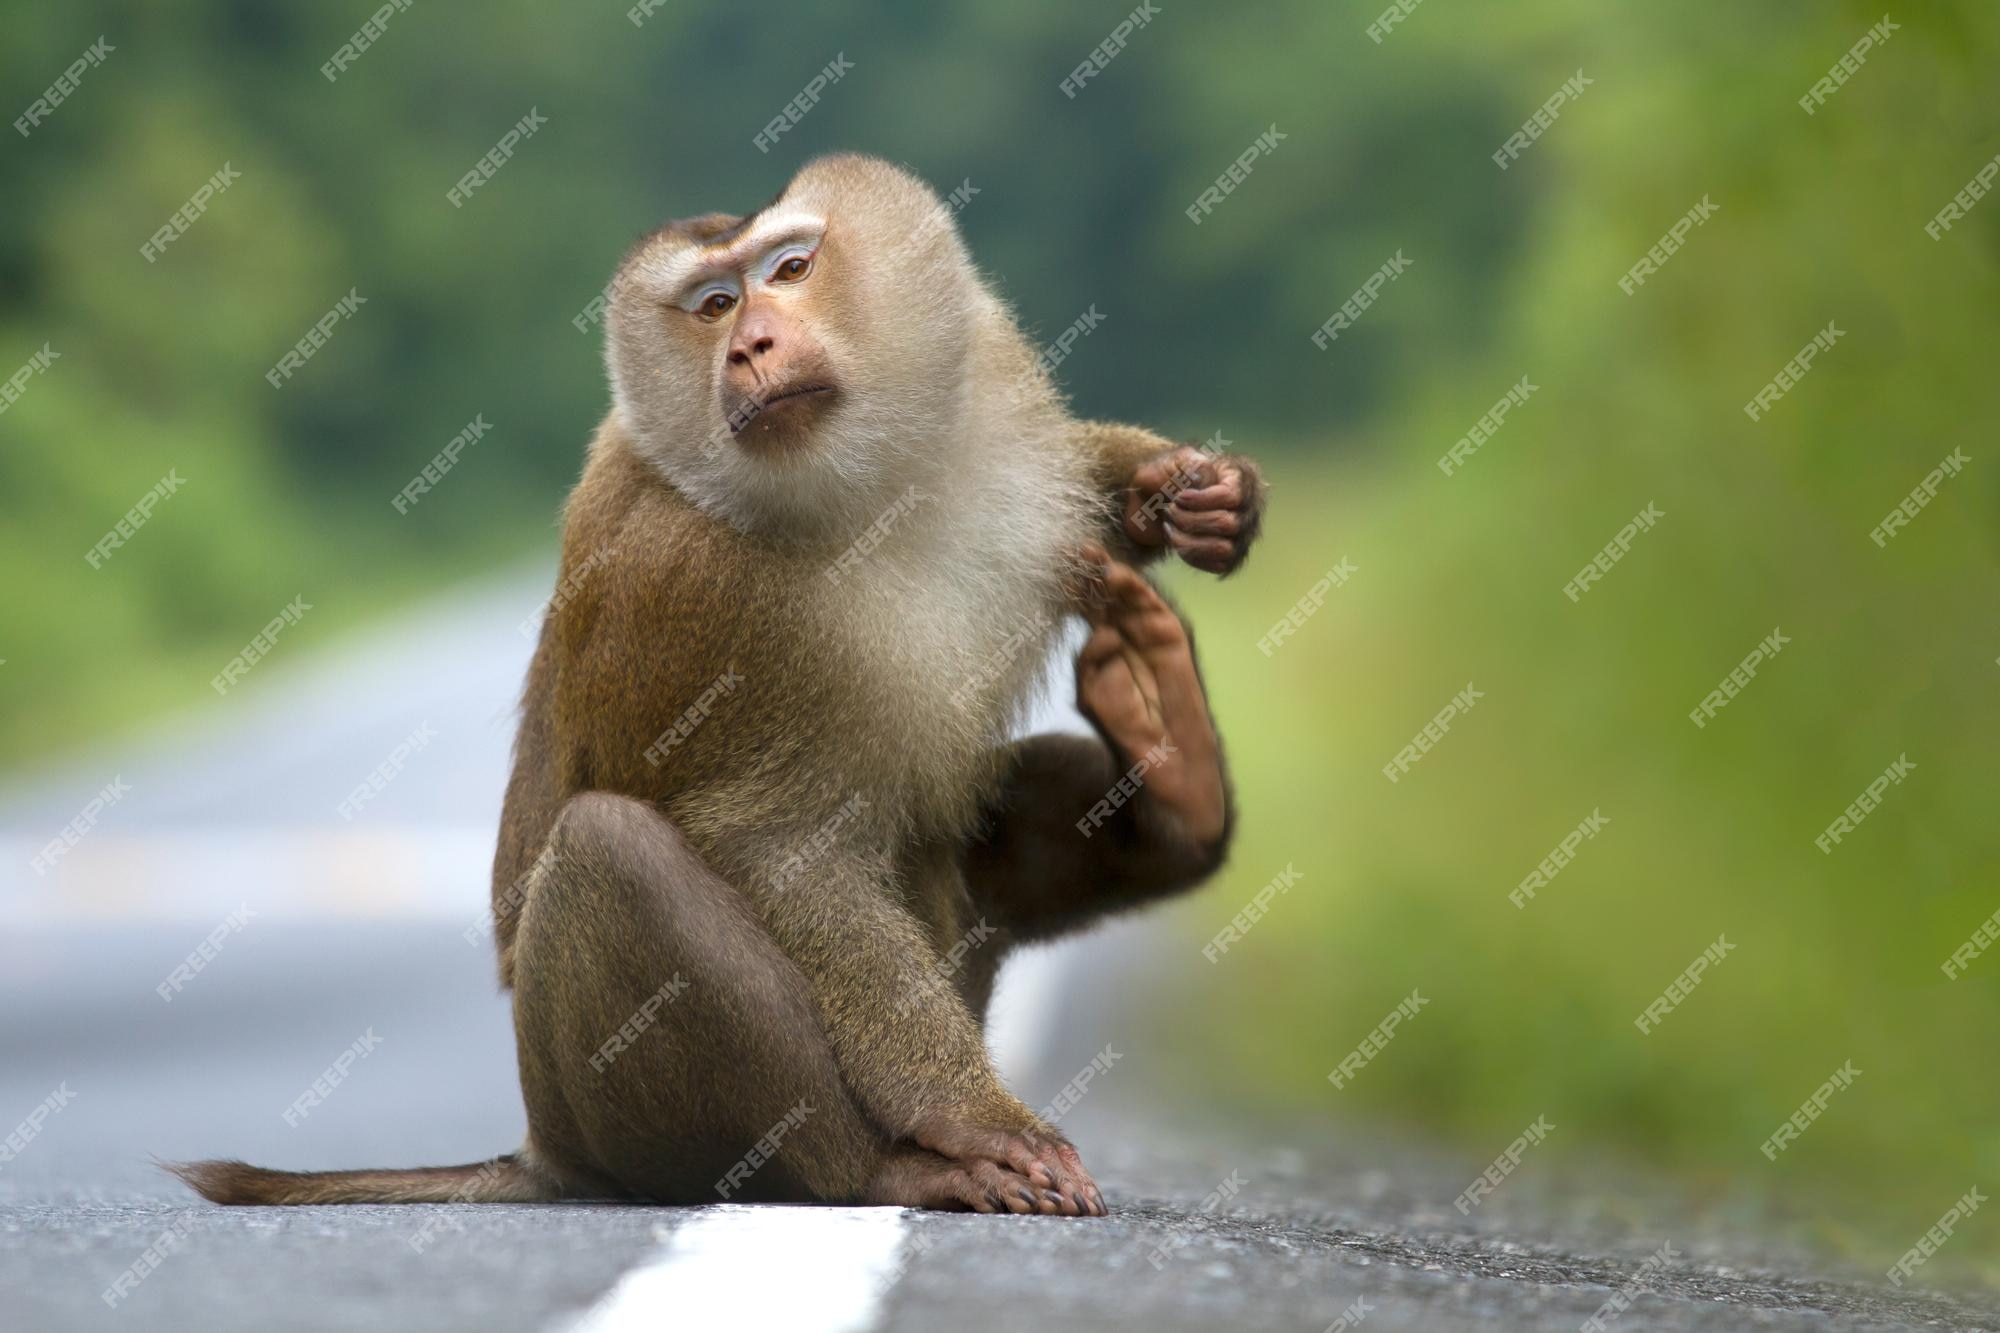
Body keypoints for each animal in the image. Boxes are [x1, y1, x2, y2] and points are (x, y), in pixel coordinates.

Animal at [172, 153, 1264, 1216]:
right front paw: (975, 1119)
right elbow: (780, 847)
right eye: (712, 305)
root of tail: (543, 1148)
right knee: (608, 853)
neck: (864, 496)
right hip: (604, 1112)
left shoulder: (989, 391)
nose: (751, 346)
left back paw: (1175, 766)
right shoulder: (712, 589)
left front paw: (1185, 490)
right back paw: (882, 1170)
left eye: (789, 269)